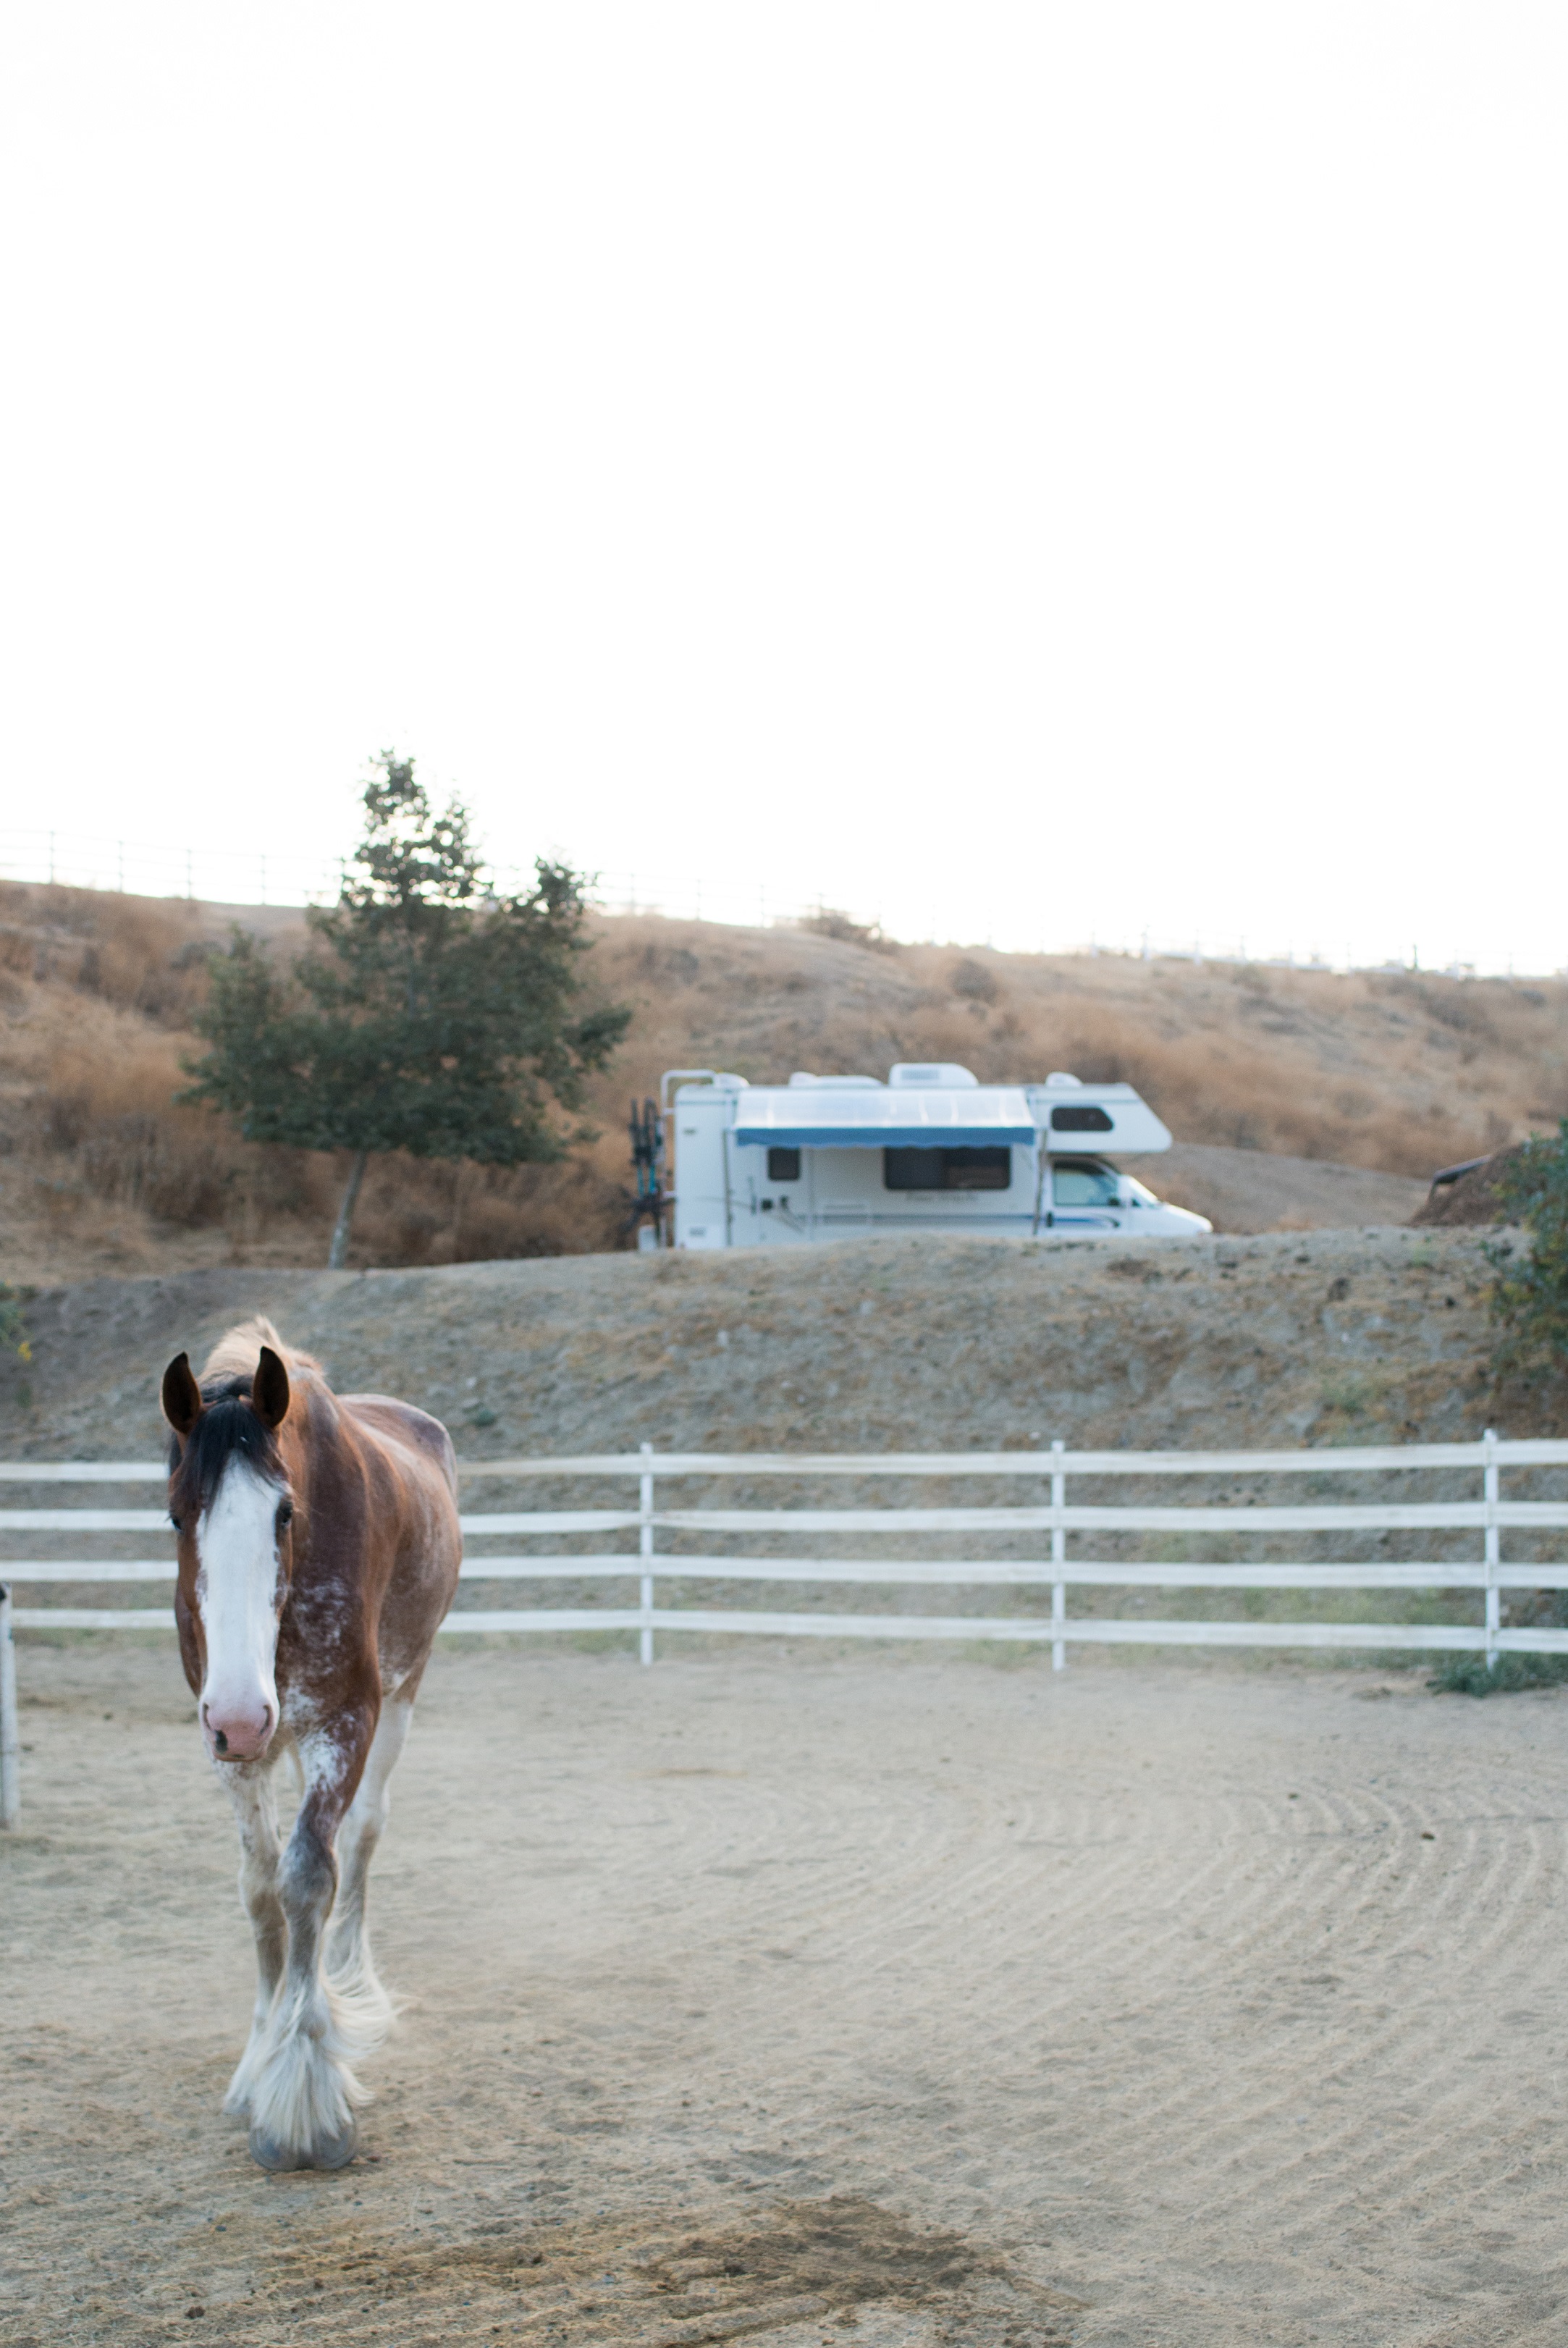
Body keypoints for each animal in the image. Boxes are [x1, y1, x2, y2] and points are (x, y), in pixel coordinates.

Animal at [160, 1317, 462, 2171]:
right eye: (177, 1516)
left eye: (284, 1514)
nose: (240, 1715)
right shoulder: (235, 1748)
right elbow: (261, 1888)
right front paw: (259, 2059)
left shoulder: (343, 1720)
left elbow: (307, 1878)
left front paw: (304, 2095)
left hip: (401, 1695)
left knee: (360, 1838)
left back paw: (352, 1978)